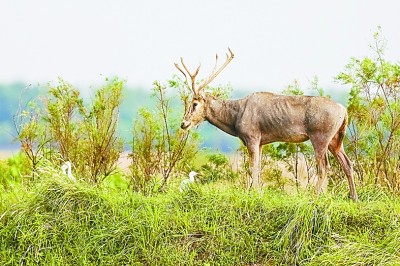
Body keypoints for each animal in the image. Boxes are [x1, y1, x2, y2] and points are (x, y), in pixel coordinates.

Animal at [175, 48, 360, 201]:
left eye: (195, 104)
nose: (184, 123)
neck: (235, 119)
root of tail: (344, 112)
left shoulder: (252, 136)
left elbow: (253, 167)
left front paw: (254, 193)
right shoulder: (262, 142)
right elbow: (258, 167)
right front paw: (256, 191)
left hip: (320, 135)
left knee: (324, 166)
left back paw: (314, 196)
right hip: (335, 139)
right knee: (347, 163)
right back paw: (354, 197)